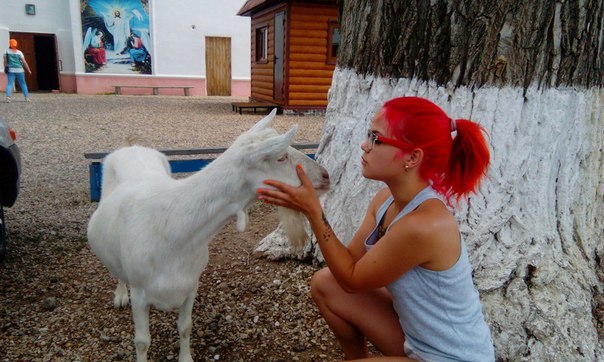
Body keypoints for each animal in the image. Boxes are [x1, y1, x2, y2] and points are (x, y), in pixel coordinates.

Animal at [87, 110, 328, 362]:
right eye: (281, 158)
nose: (325, 176)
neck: (175, 231)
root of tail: (131, 146)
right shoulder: (140, 292)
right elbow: (142, 342)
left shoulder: (191, 285)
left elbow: (185, 327)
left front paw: (186, 358)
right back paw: (120, 295)